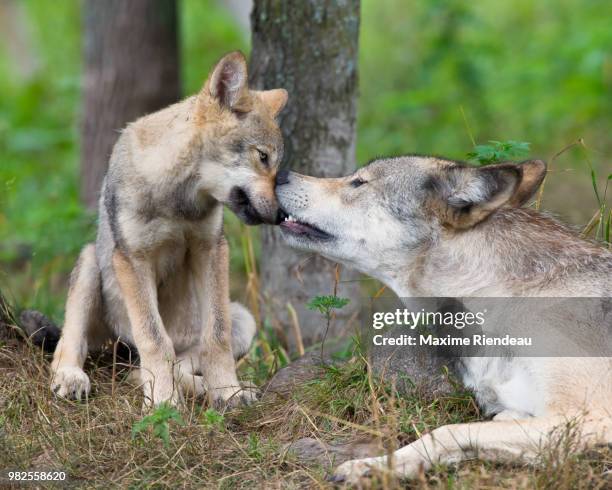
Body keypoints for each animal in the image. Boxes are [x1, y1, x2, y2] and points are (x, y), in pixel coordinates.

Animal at [39, 51, 288, 408]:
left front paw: (229, 392)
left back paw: (211, 389)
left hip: (243, 318)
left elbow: (216, 338)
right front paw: (163, 404)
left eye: (276, 165)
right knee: (73, 347)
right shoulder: (133, 260)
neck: (178, 200)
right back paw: (72, 379)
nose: (283, 214)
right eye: (263, 157)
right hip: (90, 265)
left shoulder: (211, 249)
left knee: (166, 364)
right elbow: (155, 340)